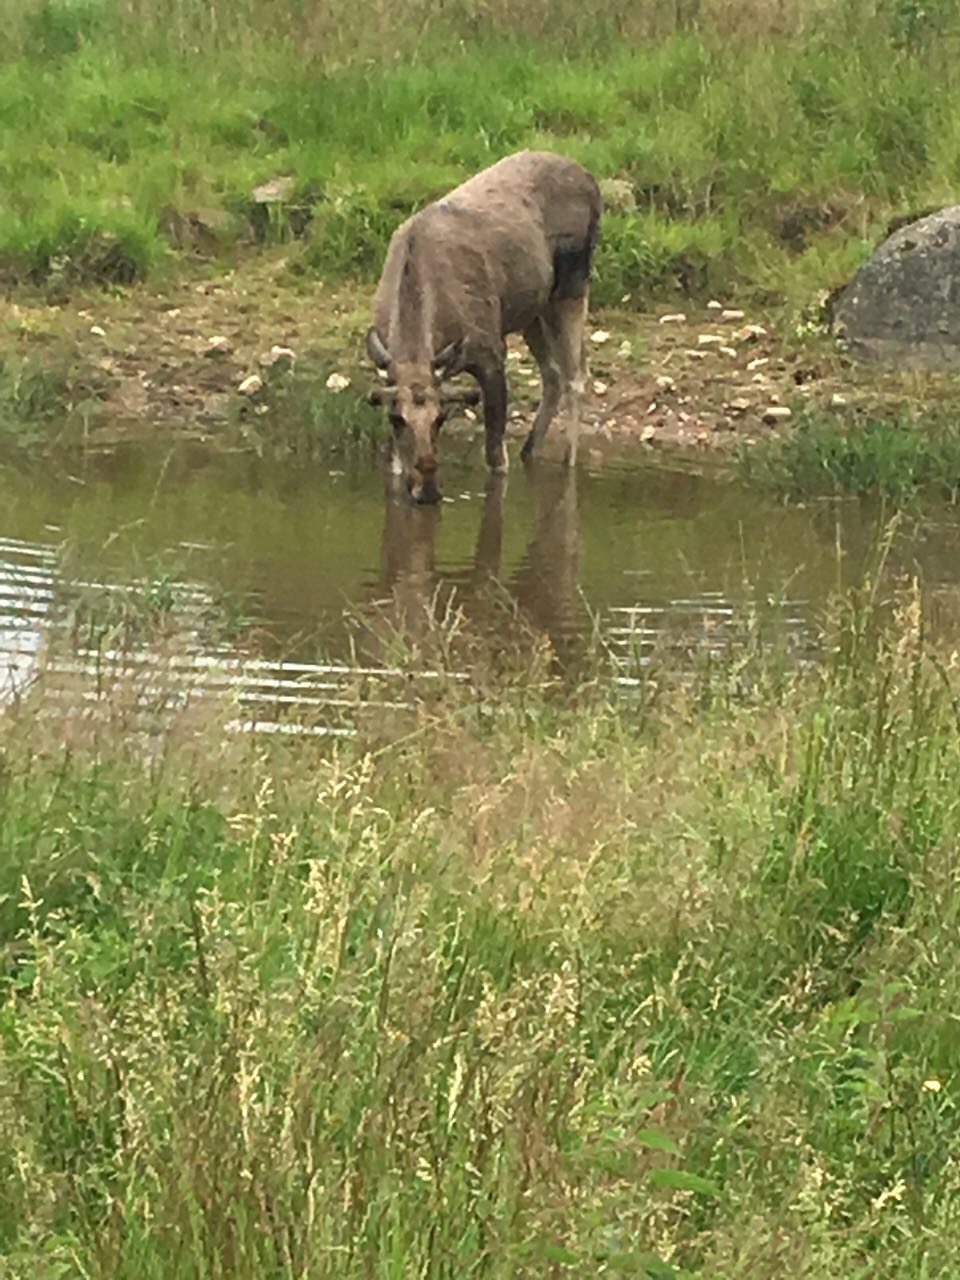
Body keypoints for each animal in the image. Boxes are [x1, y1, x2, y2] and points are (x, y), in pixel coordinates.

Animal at [366, 150, 603, 504]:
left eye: (441, 417)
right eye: (396, 418)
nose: (428, 490)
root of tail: (591, 179)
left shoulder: (491, 355)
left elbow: (495, 459)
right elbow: (393, 464)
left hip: (572, 287)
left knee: (576, 376)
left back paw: (567, 465)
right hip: (532, 309)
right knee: (553, 373)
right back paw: (529, 451)